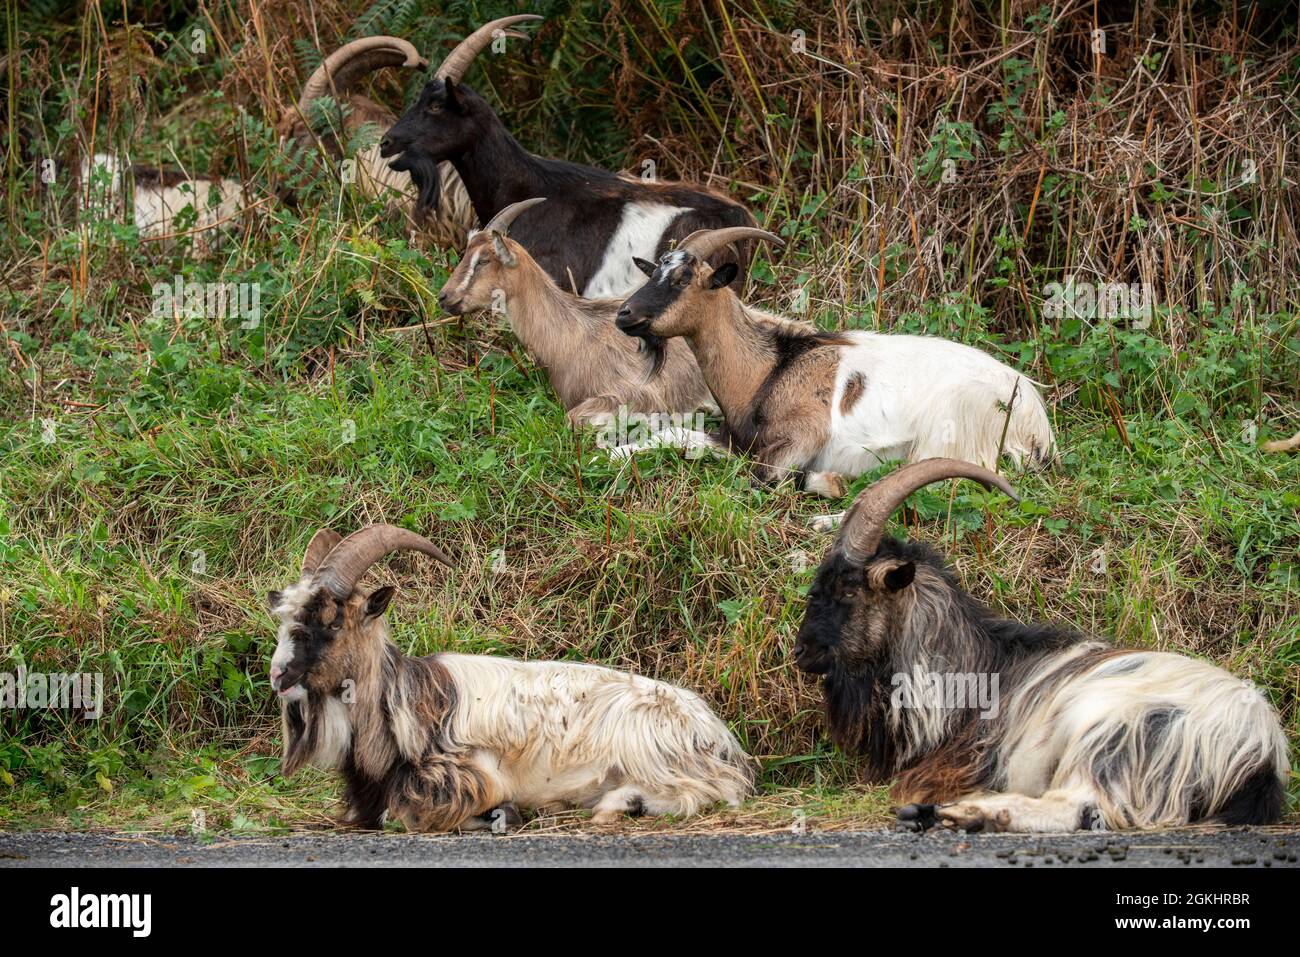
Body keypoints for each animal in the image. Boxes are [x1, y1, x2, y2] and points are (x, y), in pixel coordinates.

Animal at [268, 524, 753, 831]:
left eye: (333, 622)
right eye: (285, 616)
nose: (278, 675)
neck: (405, 702)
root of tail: (720, 738)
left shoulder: (470, 775)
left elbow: (404, 816)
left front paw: (500, 815)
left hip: (650, 749)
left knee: (708, 793)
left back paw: (610, 806)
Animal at [614, 227, 1055, 500]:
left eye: (683, 279)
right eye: (654, 273)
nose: (624, 314)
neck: (768, 372)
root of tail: (1035, 419)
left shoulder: (803, 437)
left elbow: (760, 477)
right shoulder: (735, 439)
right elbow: (674, 435)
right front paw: (612, 453)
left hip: (949, 433)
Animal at [792, 458, 1290, 832]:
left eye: (845, 591)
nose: (801, 652)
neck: (971, 675)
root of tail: (1260, 751)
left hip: (1115, 737)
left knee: (1080, 806)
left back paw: (963, 814)